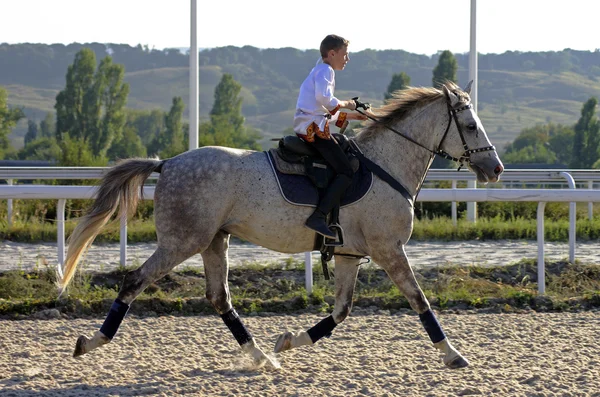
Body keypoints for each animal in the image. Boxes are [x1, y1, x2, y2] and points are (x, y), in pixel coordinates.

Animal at [59, 82, 502, 370]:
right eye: (471, 125)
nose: (495, 168)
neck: (387, 165)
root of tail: (166, 163)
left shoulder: (349, 255)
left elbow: (341, 311)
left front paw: (290, 340)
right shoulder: (389, 250)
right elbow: (419, 300)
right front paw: (452, 354)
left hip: (214, 241)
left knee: (219, 298)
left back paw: (263, 357)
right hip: (181, 242)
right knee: (135, 281)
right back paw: (91, 342)